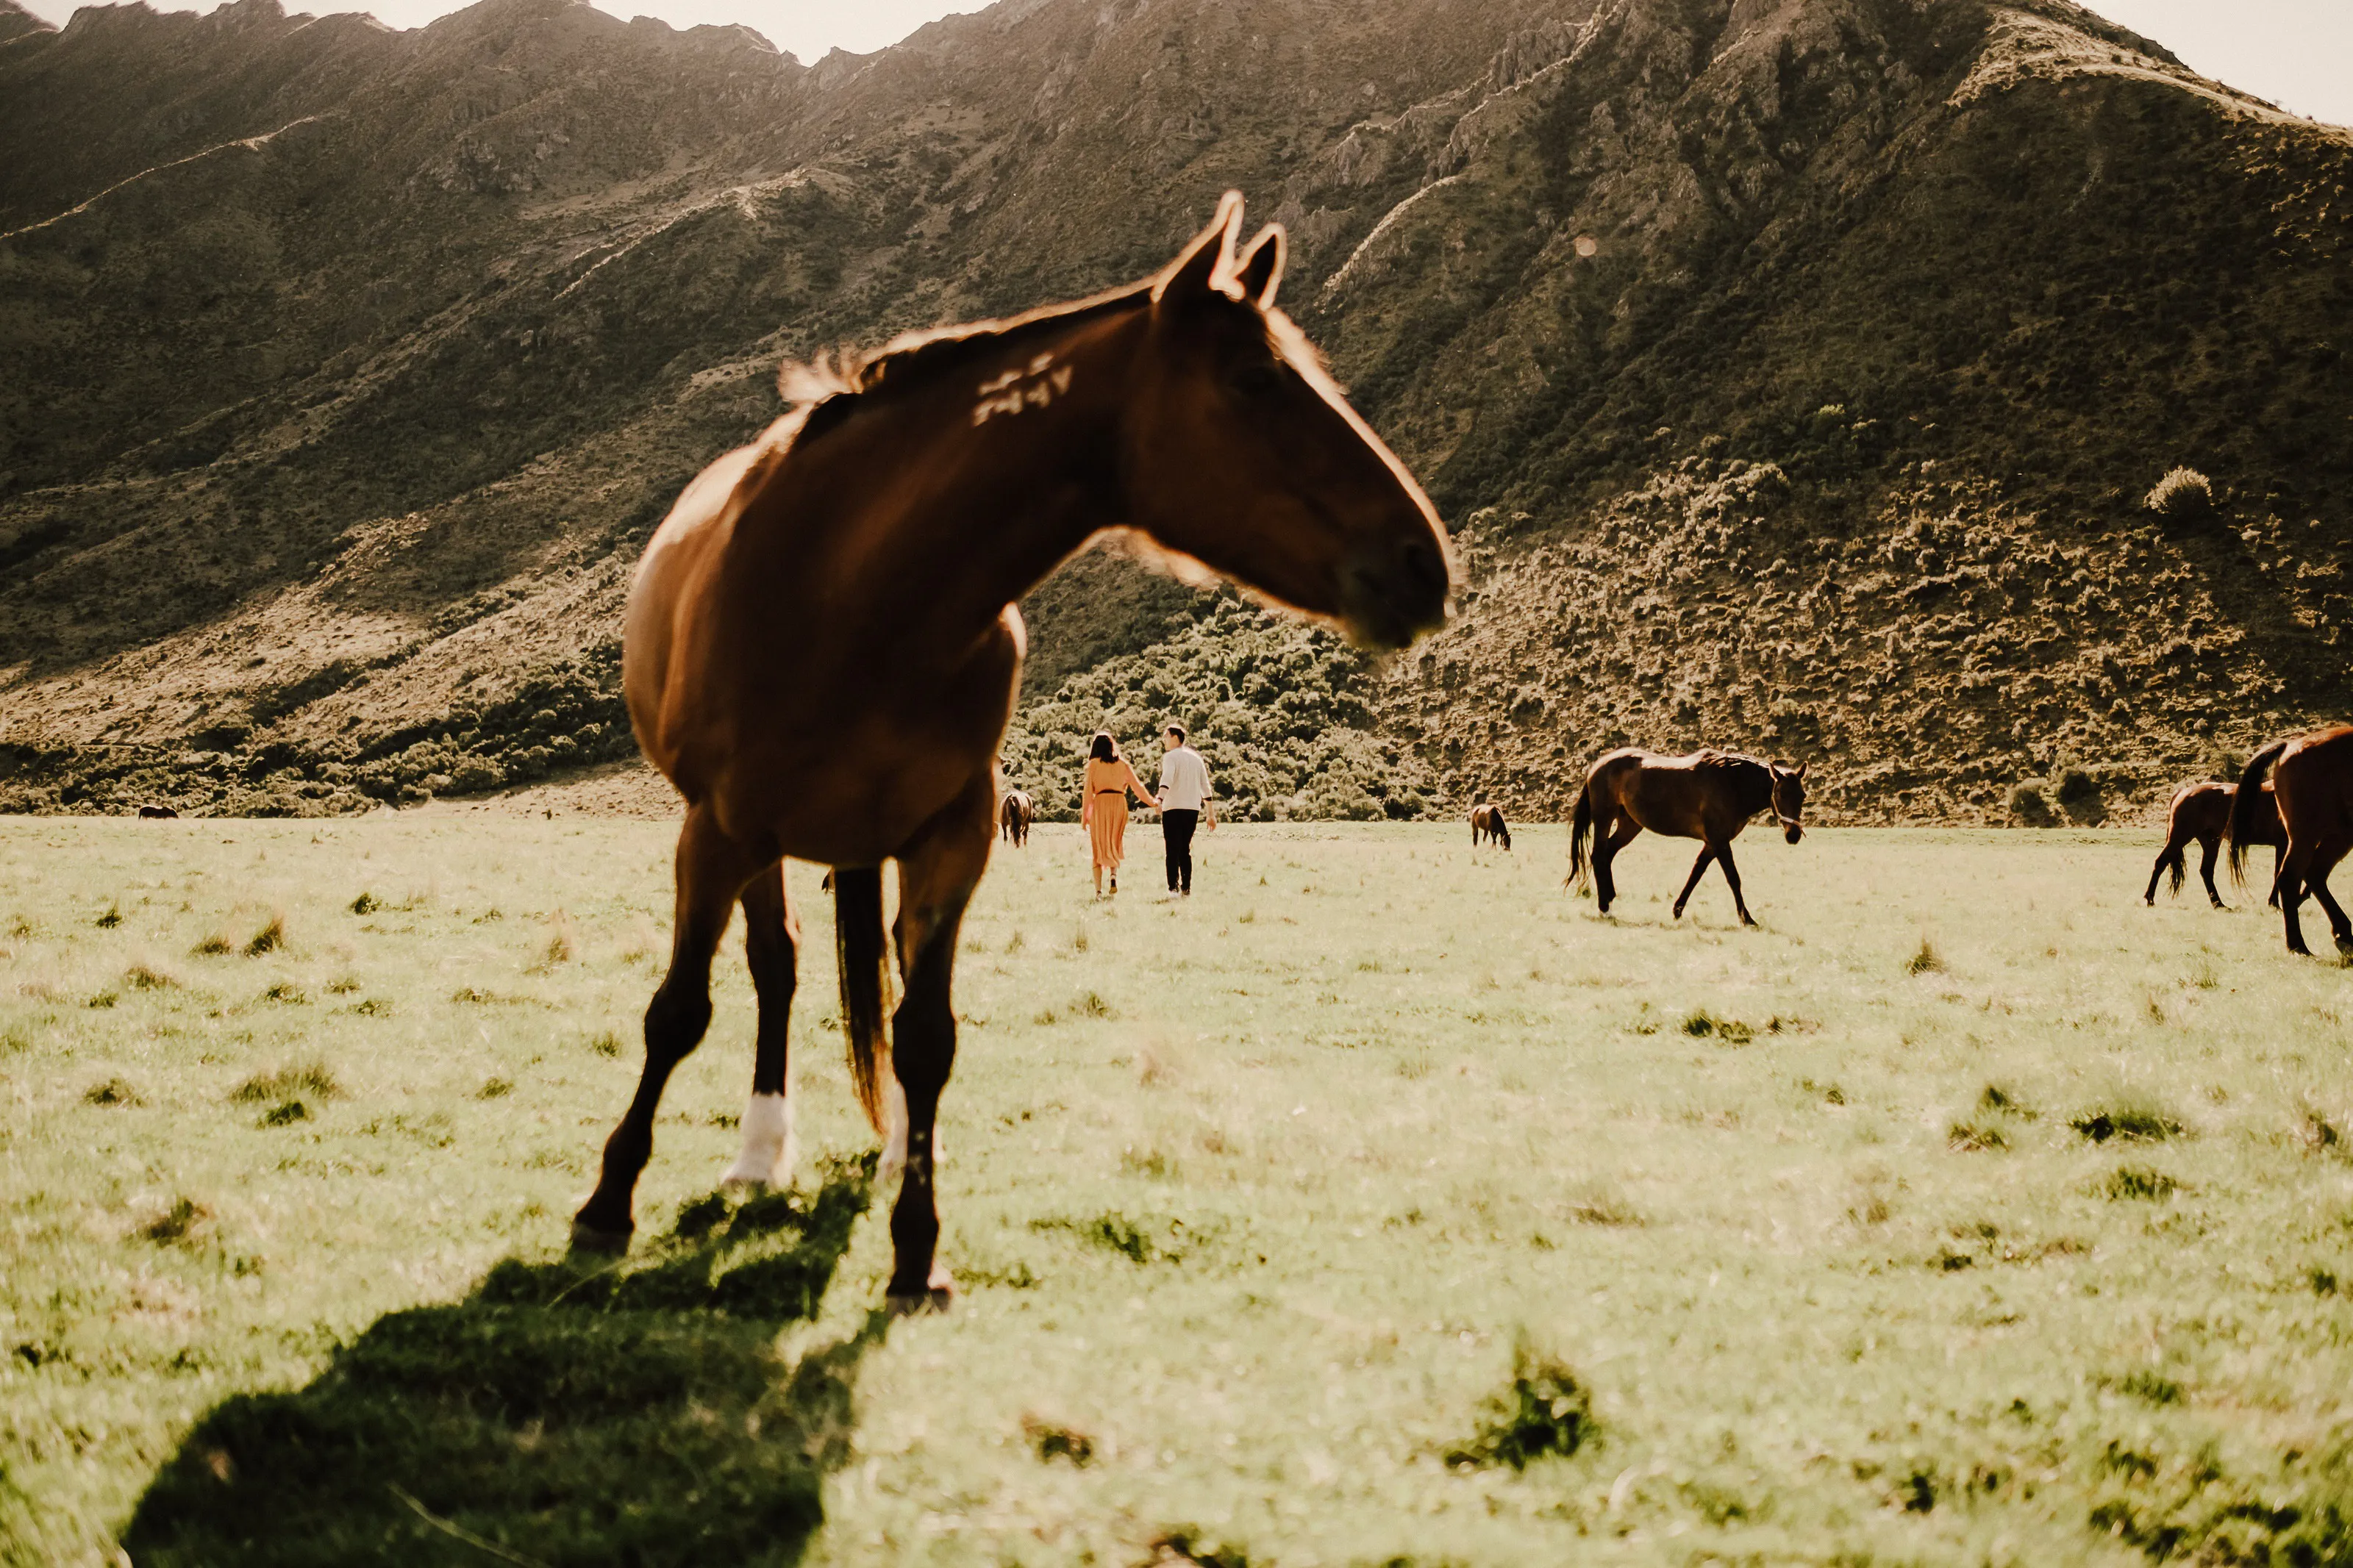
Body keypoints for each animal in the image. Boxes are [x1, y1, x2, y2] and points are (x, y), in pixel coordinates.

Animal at [571, 193, 1452, 1310]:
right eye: (1255, 379)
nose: (1424, 564)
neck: (855, 591)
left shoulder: (953, 839)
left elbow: (927, 1037)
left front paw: (917, 1247)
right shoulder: (717, 829)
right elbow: (679, 1010)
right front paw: (608, 1202)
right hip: (754, 844)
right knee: (776, 971)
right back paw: (762, 1148)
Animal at [1568, 748, 1807, 927]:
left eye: (1803, 796)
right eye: (1781, 793)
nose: (1794, 835)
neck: (1731, 783)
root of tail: (1598, 765)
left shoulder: (1712, 843)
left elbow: (1696, 874)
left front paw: (1677, 910)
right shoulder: (1719, 841)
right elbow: (1733, 878)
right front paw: (1747, 919)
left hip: (1630, 825)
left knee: (1607, 855)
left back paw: (1609, 899)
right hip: (1604, 819)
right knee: (1598, 856)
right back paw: (1604, 907)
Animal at [2144, 779, 2282, 909]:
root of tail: (2182, 792)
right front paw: (2274, 903)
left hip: (2210, 842)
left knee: (2206, 870)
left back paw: (2218, 903)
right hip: (2180, 838)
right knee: (2160, 863)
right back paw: (2150, 899)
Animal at [2231, 726, 2353, 956]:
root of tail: (2289, 746)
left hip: (2338, 836)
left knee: (2314, 874)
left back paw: (2343, 934)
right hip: (2307, 835)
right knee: (2291, 877)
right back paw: (2299, 945)